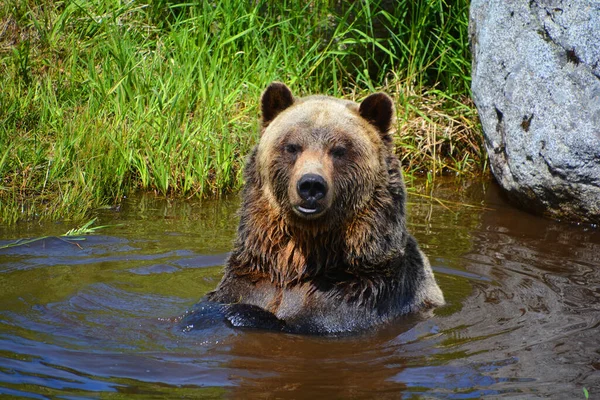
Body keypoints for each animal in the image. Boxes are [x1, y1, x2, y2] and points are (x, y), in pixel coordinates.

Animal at [204, 82, 442, 334]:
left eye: (339, 150)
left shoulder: (365, 294)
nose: (311, 185)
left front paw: (244, 314)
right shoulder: (250, 279)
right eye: (292, 147)